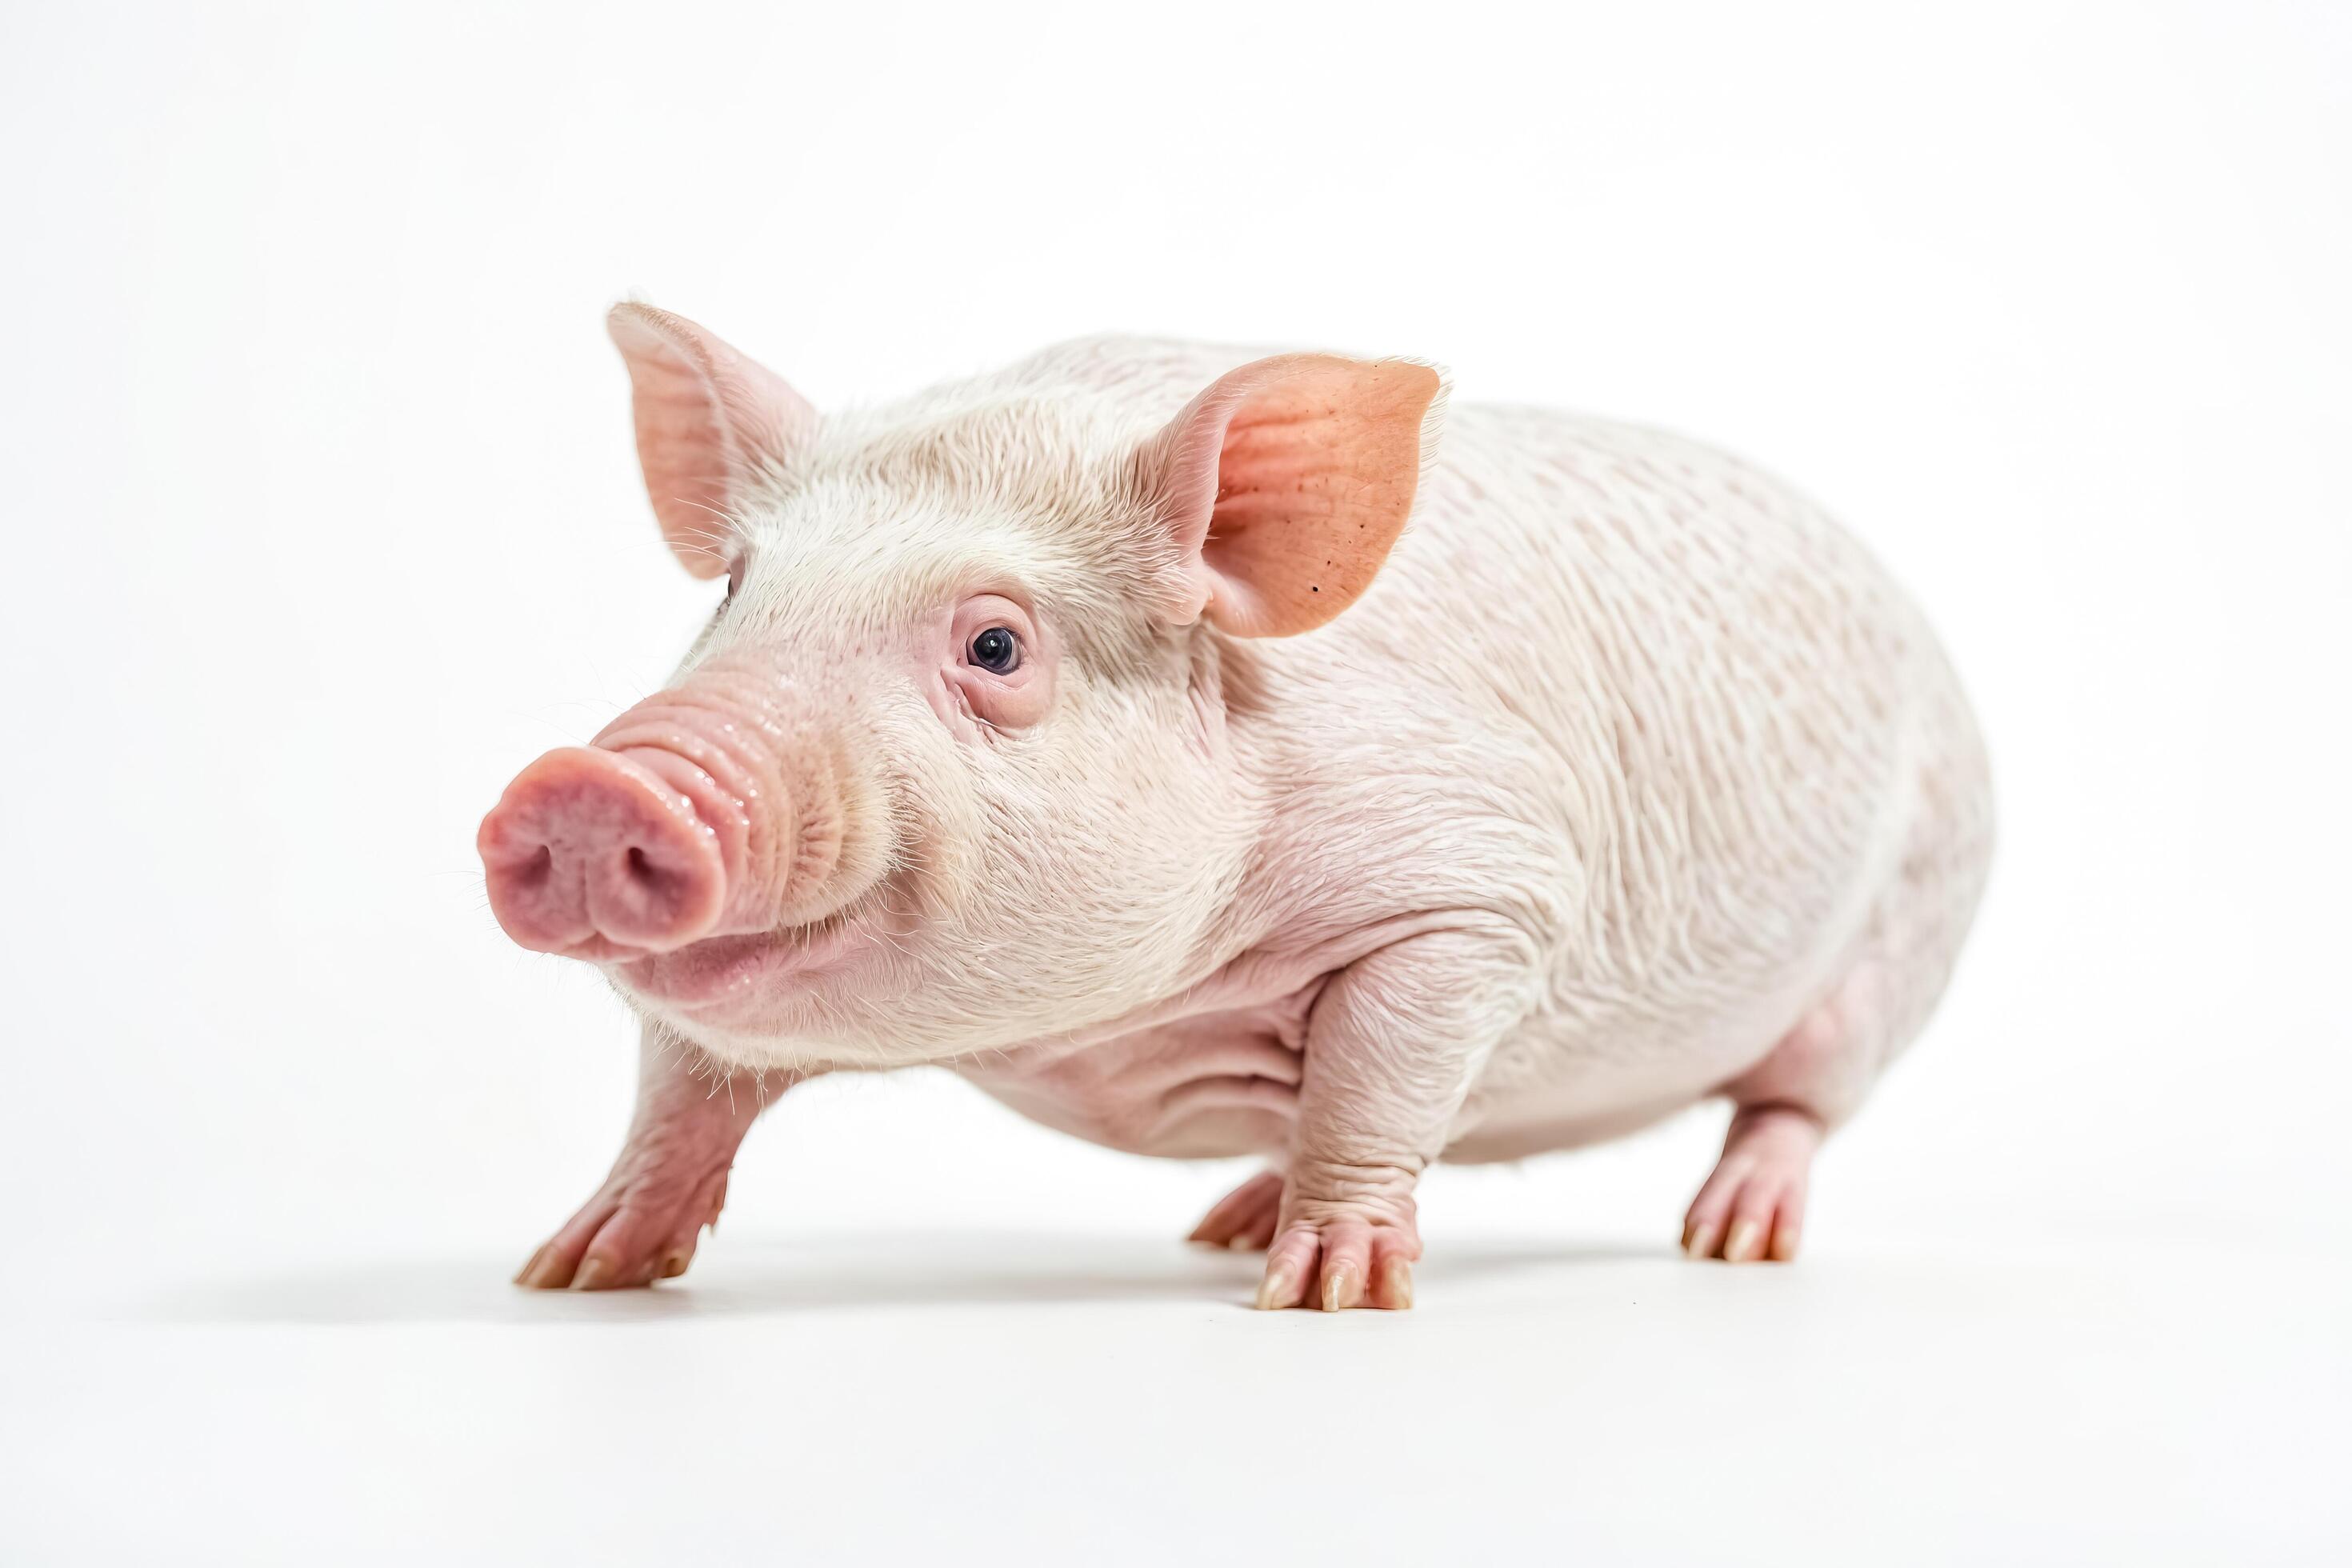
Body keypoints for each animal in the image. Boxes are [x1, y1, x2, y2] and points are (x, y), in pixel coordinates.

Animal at [477, 306, 1985, 1316]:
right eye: (737, 590)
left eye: (996, 646)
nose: (588, 784)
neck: (1107, 1031)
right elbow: (683, 1091)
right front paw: (572, 1270)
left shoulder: (1479, 884)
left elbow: (1377, 1077)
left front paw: (1329, 1296)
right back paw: (1224, 1222)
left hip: (1909, 927)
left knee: (1794, 1105)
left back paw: (1732, 1240)